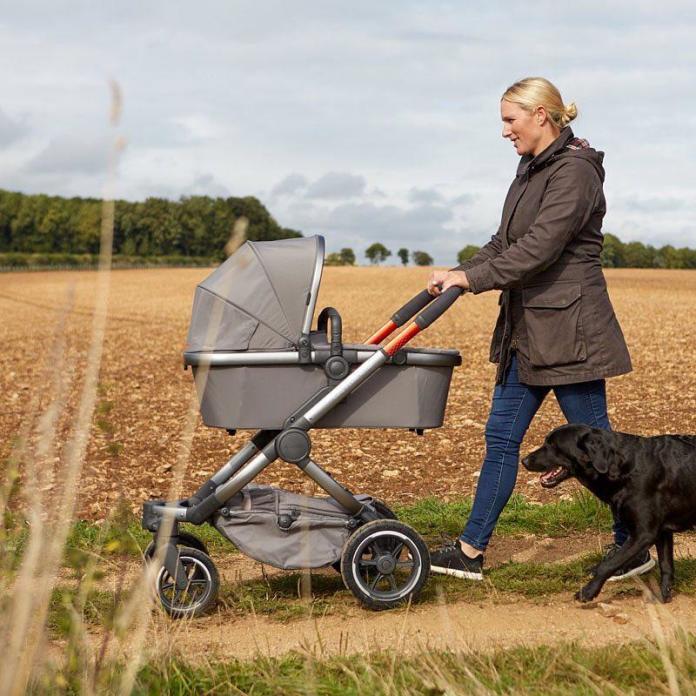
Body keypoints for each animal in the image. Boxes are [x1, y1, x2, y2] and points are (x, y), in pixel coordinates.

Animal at [520, 424, 696, 604]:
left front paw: (588, 591)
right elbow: (666, 565)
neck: (623, 468)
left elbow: (608, 565)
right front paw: (664, 597)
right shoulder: (662, 531)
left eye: (553, 445)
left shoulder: (644, 535)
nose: (523, 460)